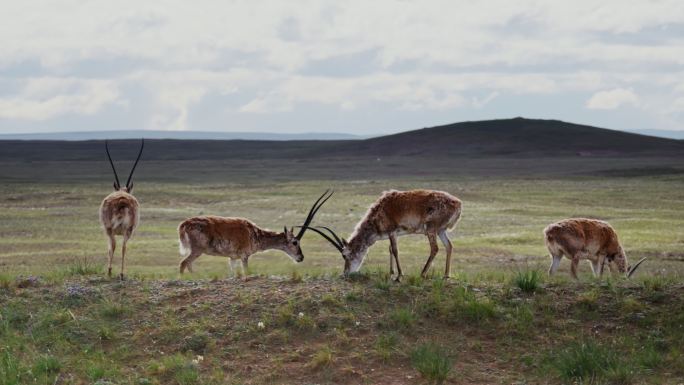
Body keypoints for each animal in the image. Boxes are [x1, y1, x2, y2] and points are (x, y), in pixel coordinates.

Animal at [99, 140, 144, 278]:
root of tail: (122, 200)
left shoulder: (108, 230)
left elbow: (109, 248)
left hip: (111, 229)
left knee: (114, 245)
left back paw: (110, 271)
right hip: (127, 230)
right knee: (124, 246)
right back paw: (121, 273)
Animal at [179, 189, 334, 276]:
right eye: (295, 242)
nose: (301, 257)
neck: (255, 233)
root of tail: (185, 224)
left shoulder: (232, 258)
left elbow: (232, 273)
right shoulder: (244, 256)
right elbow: (246, 271)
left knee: (188, 265)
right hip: (197, 250)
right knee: (183, 263)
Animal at [304, 190, 460, 282]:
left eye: (345, 255)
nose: (346, 273)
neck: (379, 210)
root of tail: (458, 203)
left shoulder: (392, 232)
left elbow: (395, 251)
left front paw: (399, 276)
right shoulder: (393, 234)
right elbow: (390, 249)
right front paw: (391, 272)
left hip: (431, 229)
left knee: (435, 248)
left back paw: (422, 274)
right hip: (441, 230)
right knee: (449, 246)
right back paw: (446, 275)